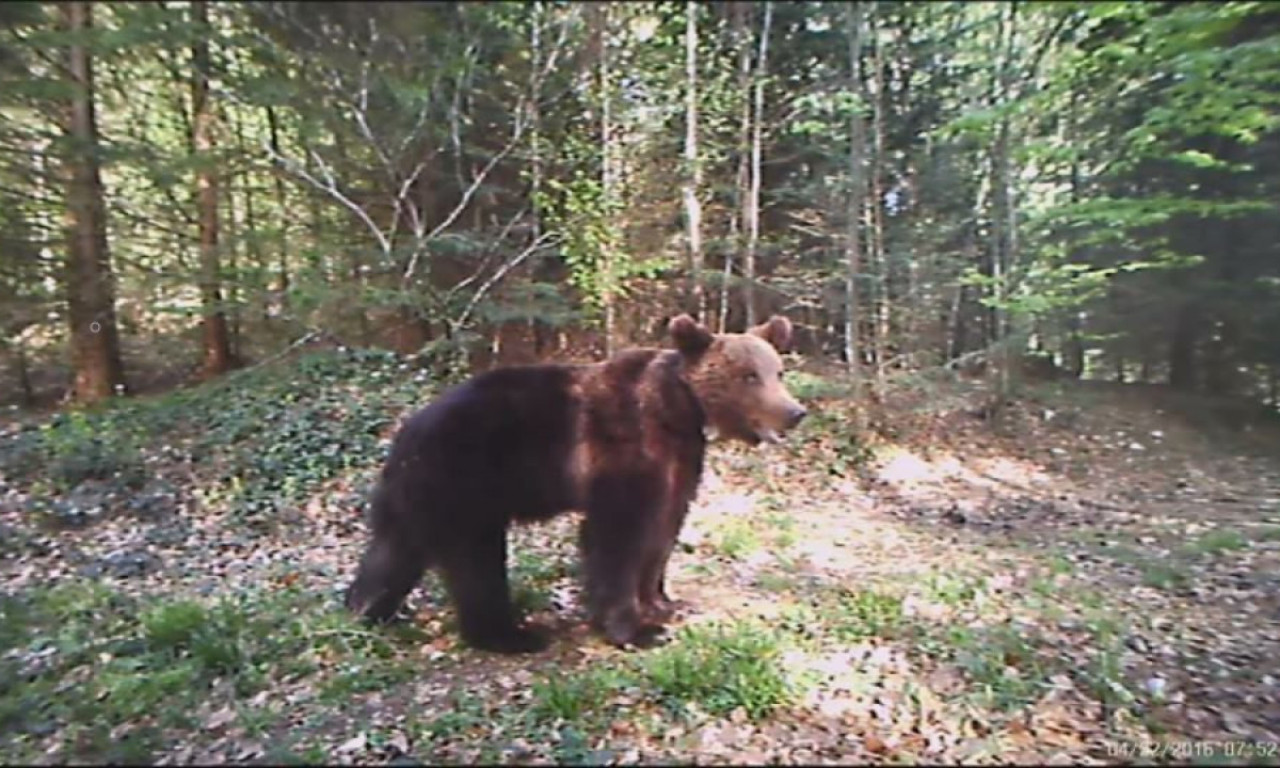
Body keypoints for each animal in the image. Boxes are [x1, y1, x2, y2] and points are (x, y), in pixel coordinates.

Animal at [345, 312, 803, 652]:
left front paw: (663, 603)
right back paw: (511, 635)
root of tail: (406, 433)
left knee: (391, 551)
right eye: (749, 375)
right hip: (465, 484)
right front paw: (635, 628)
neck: (678, 411)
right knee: (475, 561)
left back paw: (367, 611)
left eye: (778, 370)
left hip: (416, 496)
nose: (795, 412)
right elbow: (619, 537)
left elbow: (665, 528)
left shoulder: (680, 462)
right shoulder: (624, 454)